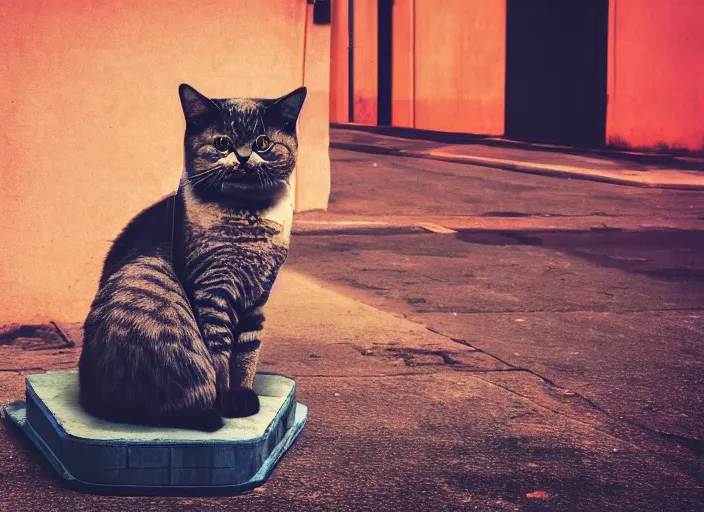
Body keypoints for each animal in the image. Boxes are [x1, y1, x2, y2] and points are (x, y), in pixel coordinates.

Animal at [77, 84, 306, 432]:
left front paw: (243, 395)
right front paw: (229, 402)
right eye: (222, 143)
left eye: (263, 143)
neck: (247, 218)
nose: (242, 157)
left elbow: (246, 355)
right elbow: (220, 358)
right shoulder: (212, 293)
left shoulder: (257, 298)